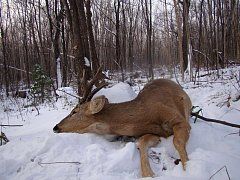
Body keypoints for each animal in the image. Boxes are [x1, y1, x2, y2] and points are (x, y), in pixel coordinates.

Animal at [53, 67, 192, 177]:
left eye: (74, 111)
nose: (56, 127)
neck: (146, 115)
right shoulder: (153, 133)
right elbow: (141, 142)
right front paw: (149, 174)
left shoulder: (178, 119)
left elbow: (177, 141)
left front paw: (187, 168)